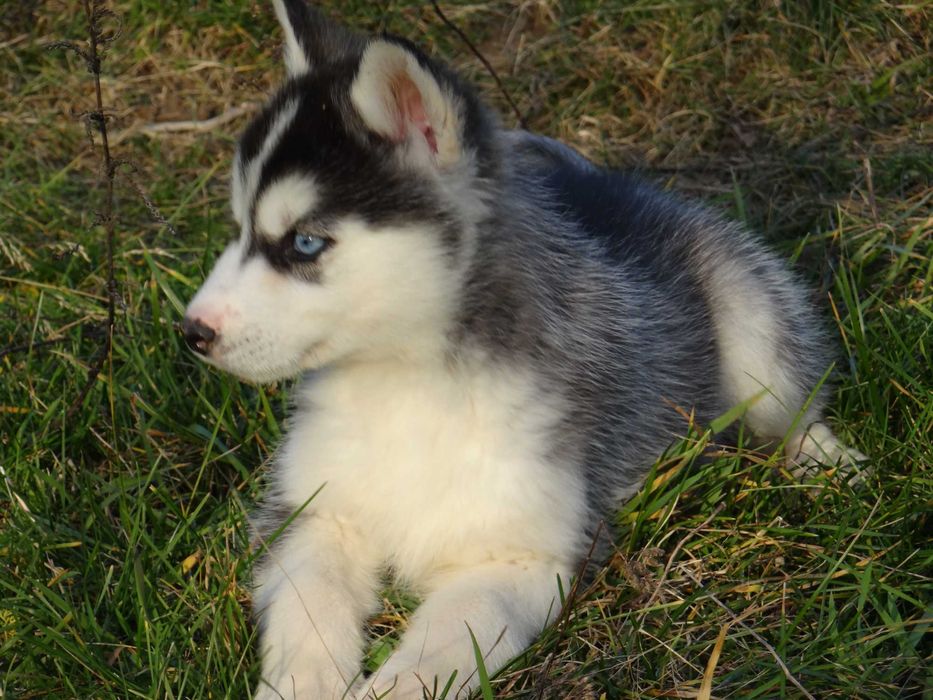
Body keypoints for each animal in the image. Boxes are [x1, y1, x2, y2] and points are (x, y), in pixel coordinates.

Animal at [182, 2, 868, 696]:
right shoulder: (312, 515)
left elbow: (437, 647)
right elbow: (308, 614)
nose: (192, 333)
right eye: (239, 227)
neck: (404, 387)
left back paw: (831, 466)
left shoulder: (522, 559)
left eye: (304, 243)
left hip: (752, 321)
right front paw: (304, 682)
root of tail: (617, 187)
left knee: (793, 403)